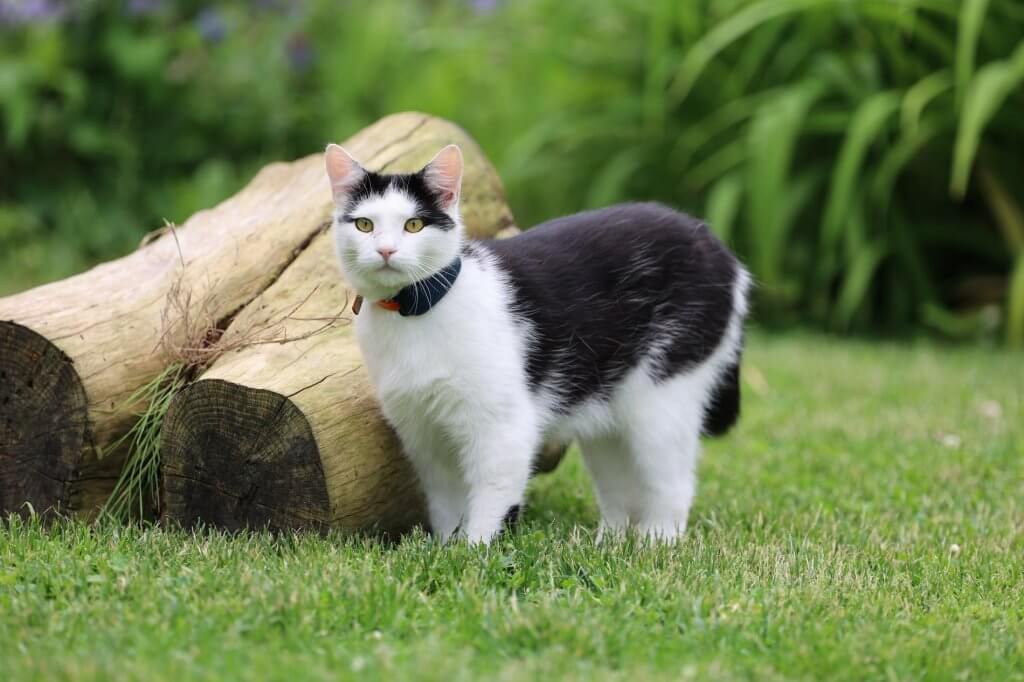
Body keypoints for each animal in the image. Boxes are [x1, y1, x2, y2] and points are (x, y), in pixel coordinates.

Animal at [327, 143, 753, 540]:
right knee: (620, 484)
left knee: (672, 481)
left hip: (662, 399)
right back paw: (608, 542)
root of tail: (719, 249)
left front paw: (473, 553)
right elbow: (445, 503)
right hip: (606, 413)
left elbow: (491, 499)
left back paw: (656, 540)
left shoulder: (504, 428)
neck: (413, 314)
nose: (385, 250)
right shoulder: (424, 435)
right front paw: (445, 547)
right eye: (364, 224)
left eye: (414, 225)